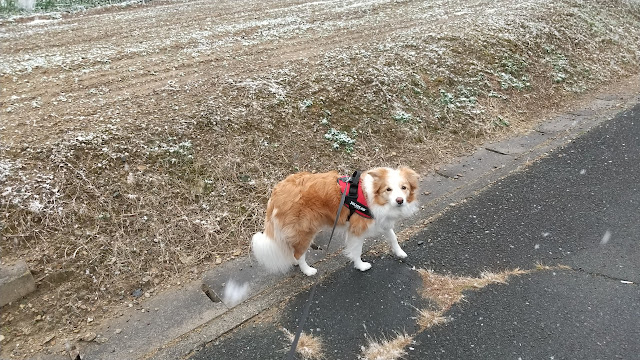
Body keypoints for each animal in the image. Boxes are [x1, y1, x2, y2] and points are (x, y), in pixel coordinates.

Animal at [250, 167, 420, 276]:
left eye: (404, 188)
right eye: (388, 189)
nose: (400, 201)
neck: (373, 196)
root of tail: (277, 192)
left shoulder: (381, 221)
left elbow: (393, 237)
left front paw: (400, 252)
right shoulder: (357, 230)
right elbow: (357, 251)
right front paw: (361, 266)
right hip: (305, 231)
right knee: (299, 253)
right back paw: (308, 271)